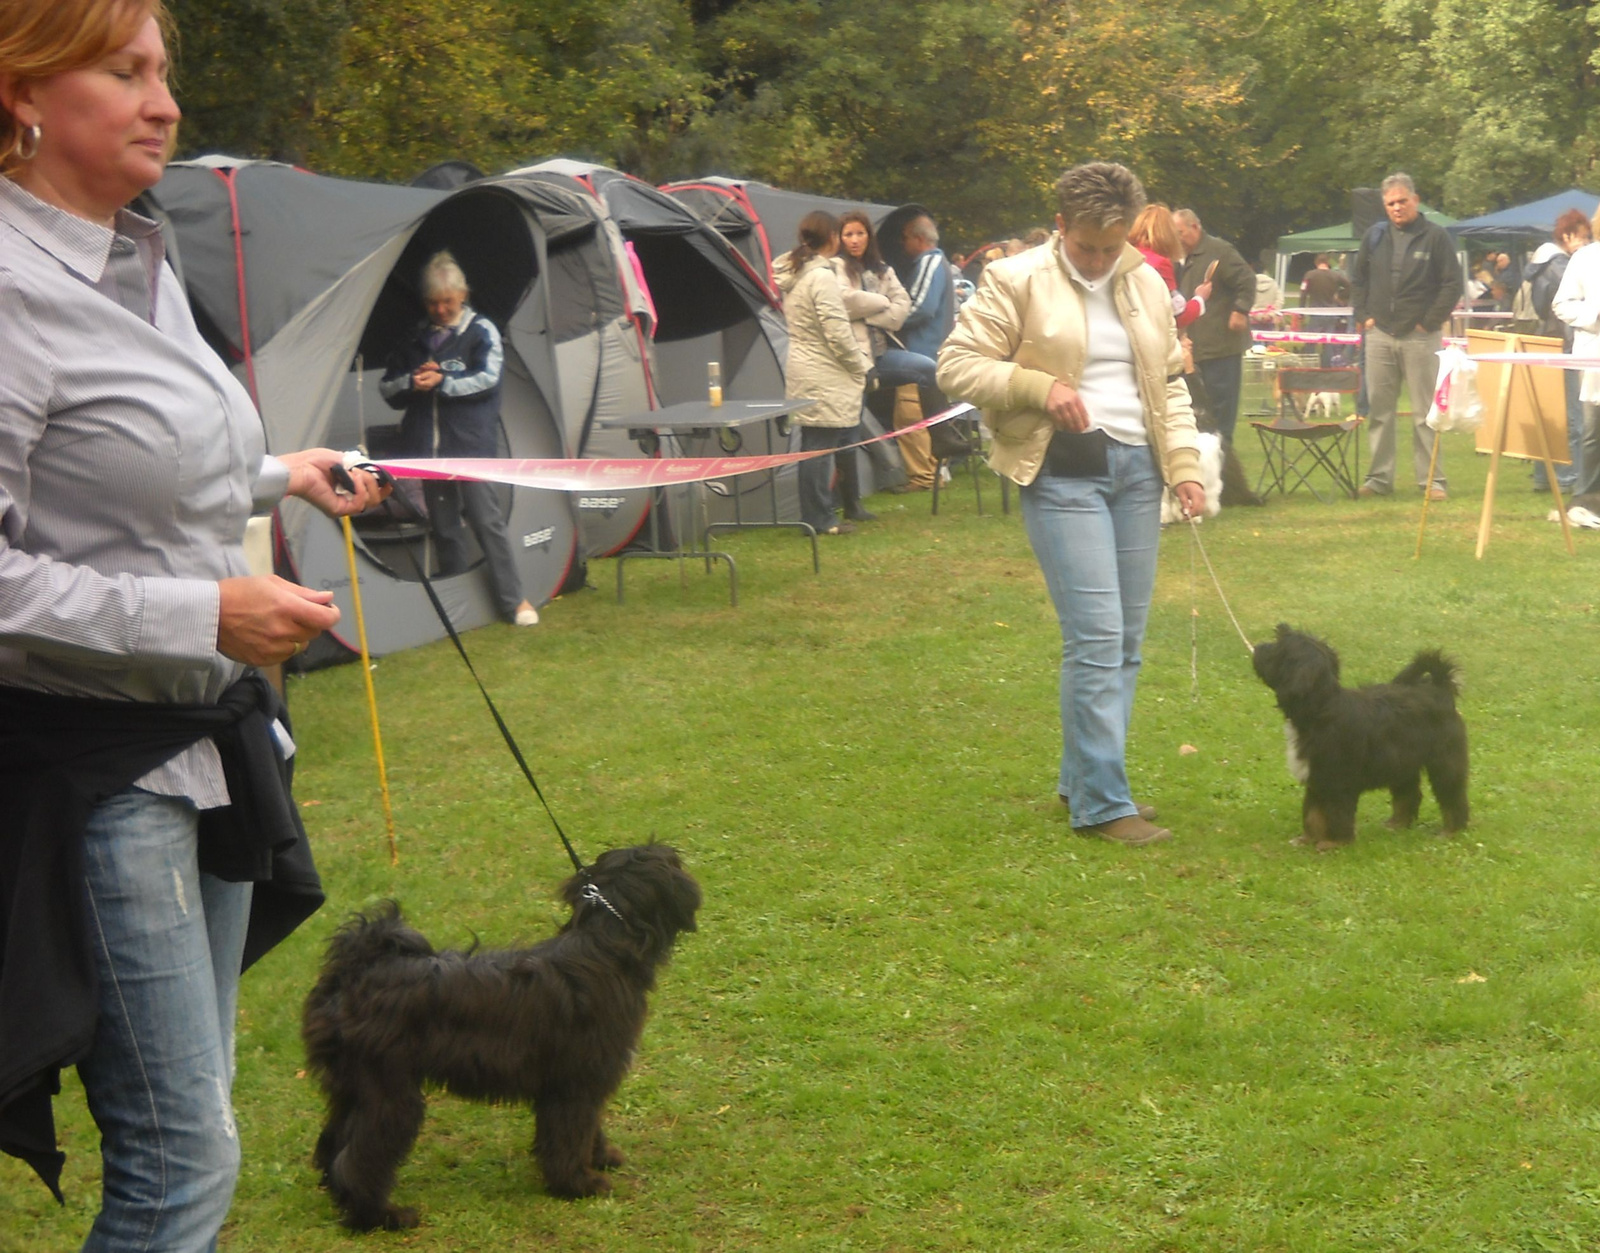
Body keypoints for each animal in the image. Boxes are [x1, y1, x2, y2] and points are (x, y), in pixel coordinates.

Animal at [300, 844, 700, 1235]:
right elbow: (571, 1134)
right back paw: (381, 1217)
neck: (607, 948)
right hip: (390, 1093)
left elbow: (588, 1127)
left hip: (353, 1088)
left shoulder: (579, 1081)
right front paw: (579, 1184)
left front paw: (600, 1158)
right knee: (358, 1160)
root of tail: (352, 972)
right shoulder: (576, 1082)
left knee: (333, 1144)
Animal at [1254, 620, 1465, 844]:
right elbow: (1313, 813)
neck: (1322, 709)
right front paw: (1307, 840)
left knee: (1452, 796)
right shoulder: (1317, 779)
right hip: (1403, 763)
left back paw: (1451, 830)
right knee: (1409, 794)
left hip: (1444, 762)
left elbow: (1336, 813)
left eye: (1277, 648)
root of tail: (1440, 689)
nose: (1258, 647)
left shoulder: (1337, 780)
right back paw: (1397, 824)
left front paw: (1334, 842)